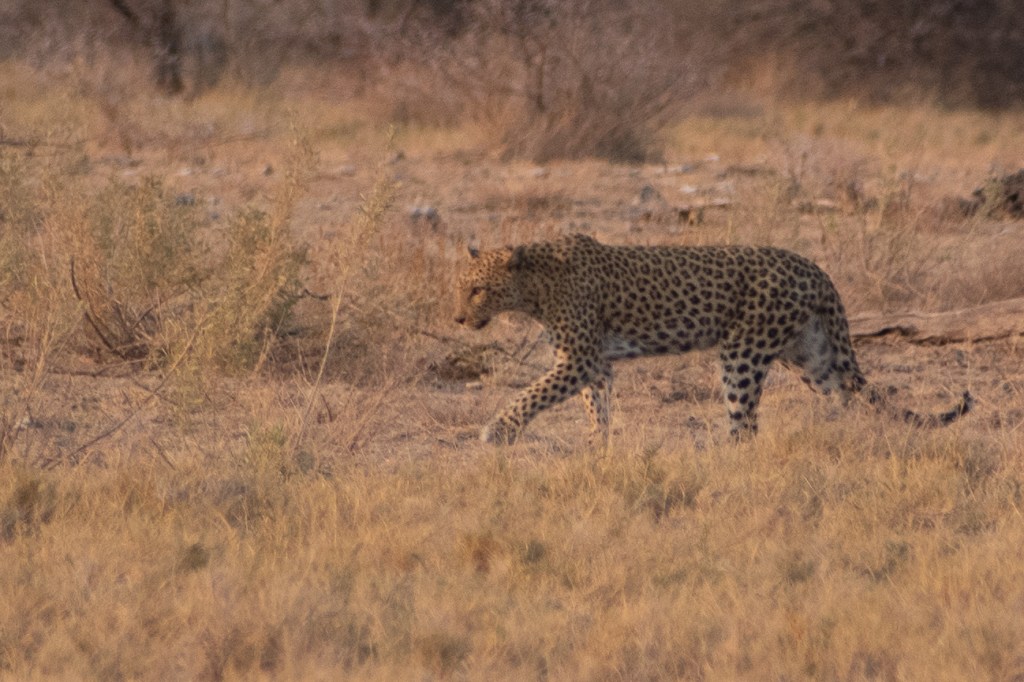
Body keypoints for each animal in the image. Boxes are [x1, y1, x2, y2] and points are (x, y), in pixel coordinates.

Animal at [453, 233, 972, 444]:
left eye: (477, 290)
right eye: (460, 288)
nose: (457, 319)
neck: (535, 288)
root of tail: (816, 269)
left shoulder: (579, 358)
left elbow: (532, 394)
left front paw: (497, 431)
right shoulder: (594, 363)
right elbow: (595, 408)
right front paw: (598, 448)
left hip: (743, 352)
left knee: (745, 425)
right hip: (811, 355)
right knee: (846, 394)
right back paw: (850, 438)